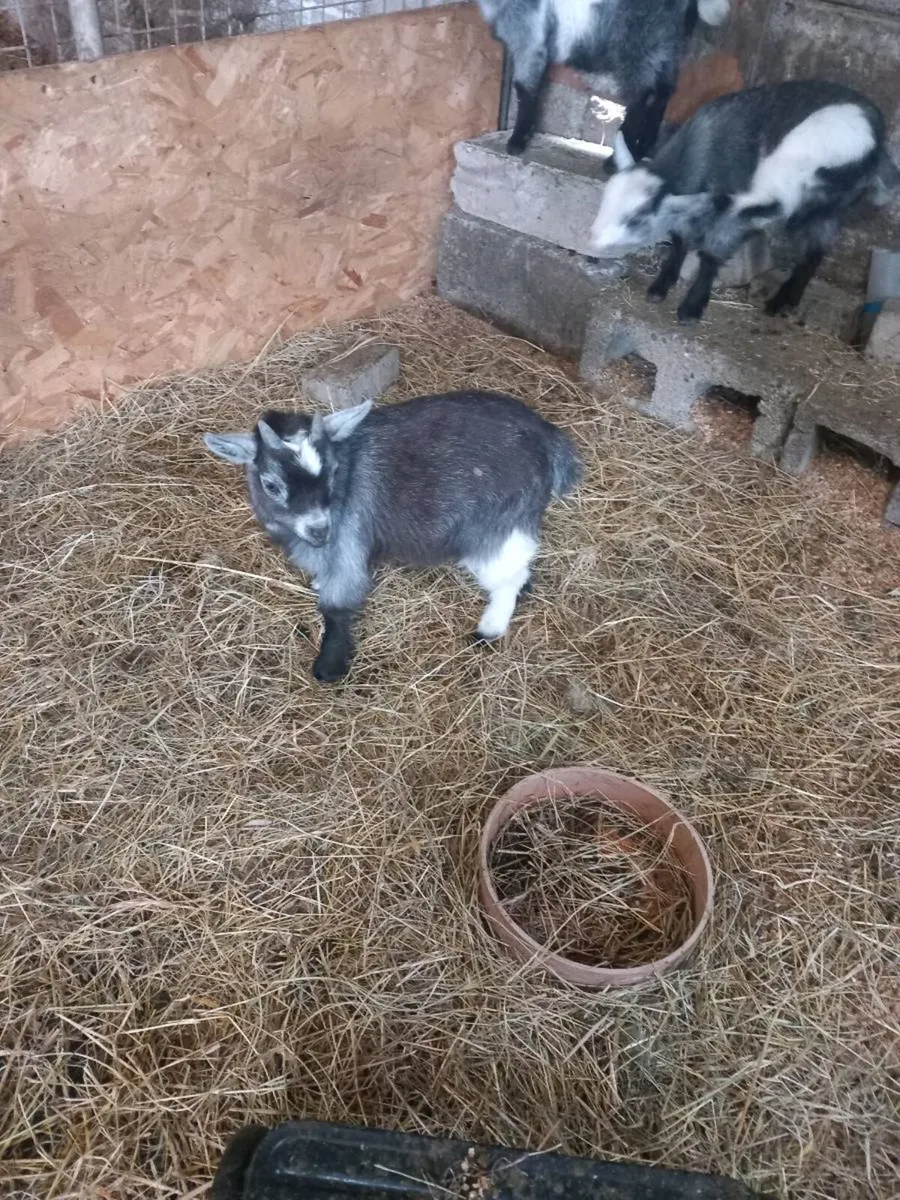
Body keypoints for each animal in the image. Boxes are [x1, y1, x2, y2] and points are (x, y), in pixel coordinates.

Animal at [202, 391, 581, 683]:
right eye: (271, 485)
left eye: (334, 472)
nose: (319, 529)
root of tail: (549, 438)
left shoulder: (348, 541)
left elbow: (337, 604)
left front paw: (329, 665)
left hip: (494, 526)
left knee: (509, 576)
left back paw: (489, 628)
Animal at [479, 0, 731, 166]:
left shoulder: (528, 37)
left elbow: (525, 89)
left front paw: (517, 140)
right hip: (665, 47)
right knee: (662, 93)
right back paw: (642, 147)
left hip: (638, 44)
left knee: (643, 96)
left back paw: (617, 158)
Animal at [590, 80, 892, 324]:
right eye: (606, 199)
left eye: (637, 218)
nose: (594, 240)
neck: (704, 150)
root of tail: (878, 134)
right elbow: (680, 240)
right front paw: (661, 286)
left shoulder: (732, 209)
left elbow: (712, 254)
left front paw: (691, 308)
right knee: (815, 252)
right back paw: (786, 300)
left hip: (819, 196)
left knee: (809, 246)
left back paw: (780, 301)